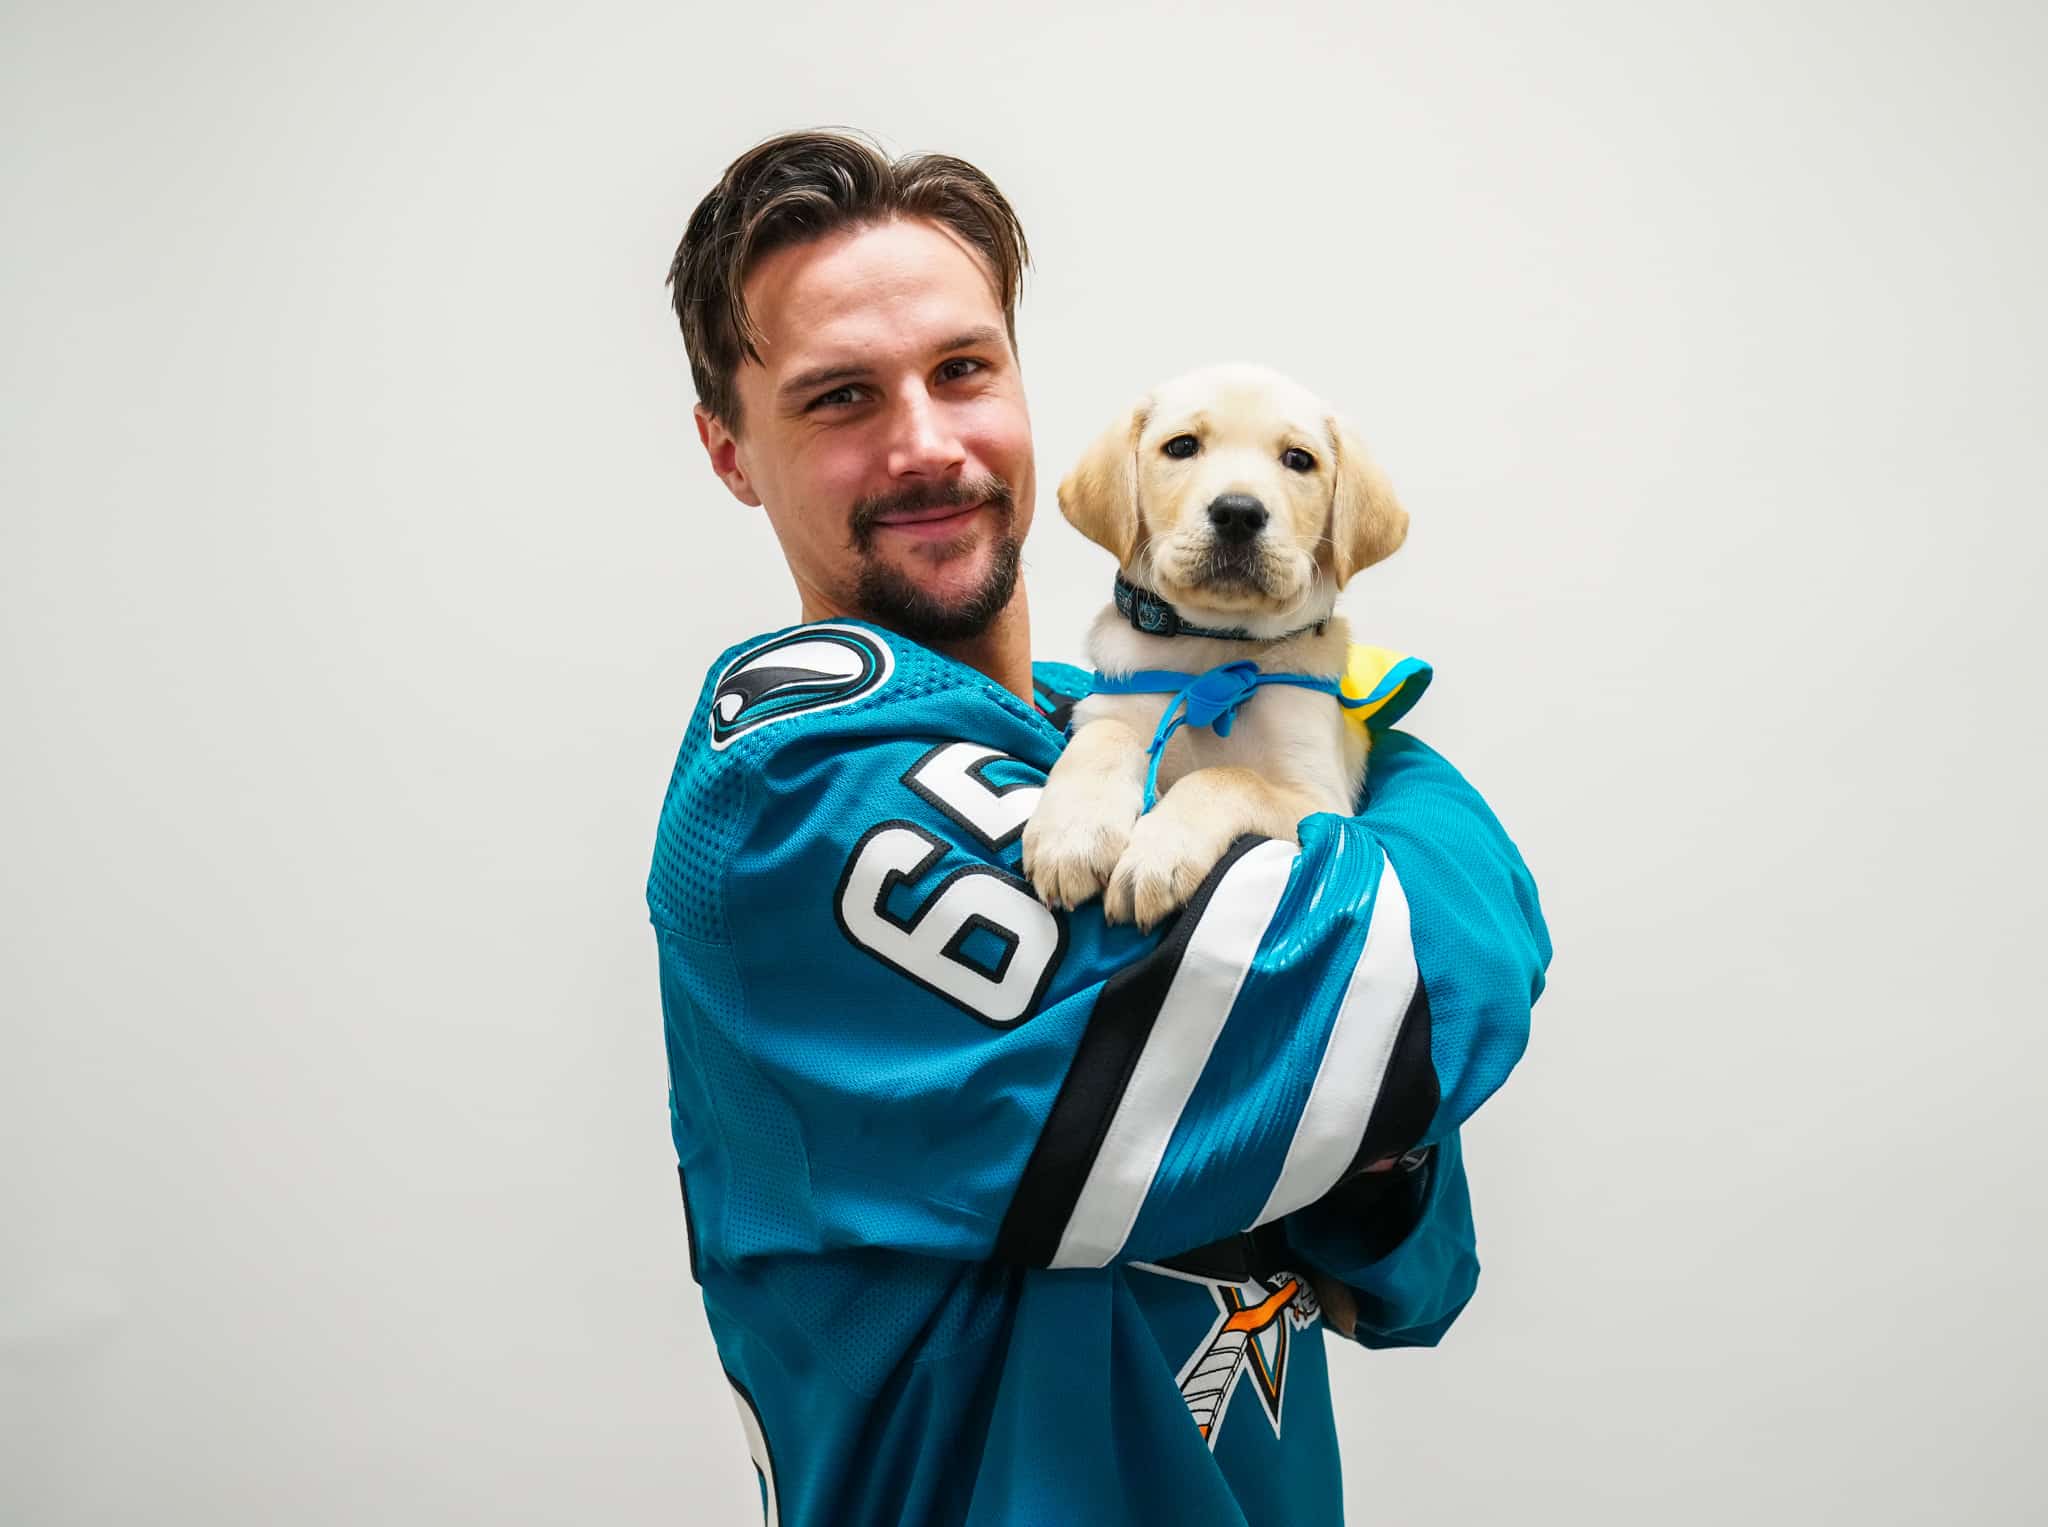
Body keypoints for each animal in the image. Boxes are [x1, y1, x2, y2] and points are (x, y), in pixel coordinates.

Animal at [1024, 366, 1409, 929]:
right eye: (1182, 446)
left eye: (1299, 459)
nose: (1239, 513)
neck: (1212, 656)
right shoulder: (1108, 707)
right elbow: (1106, 737)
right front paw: (1073, 835)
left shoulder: (1322, 803)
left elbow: (1228, 777)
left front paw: (1158, 855)